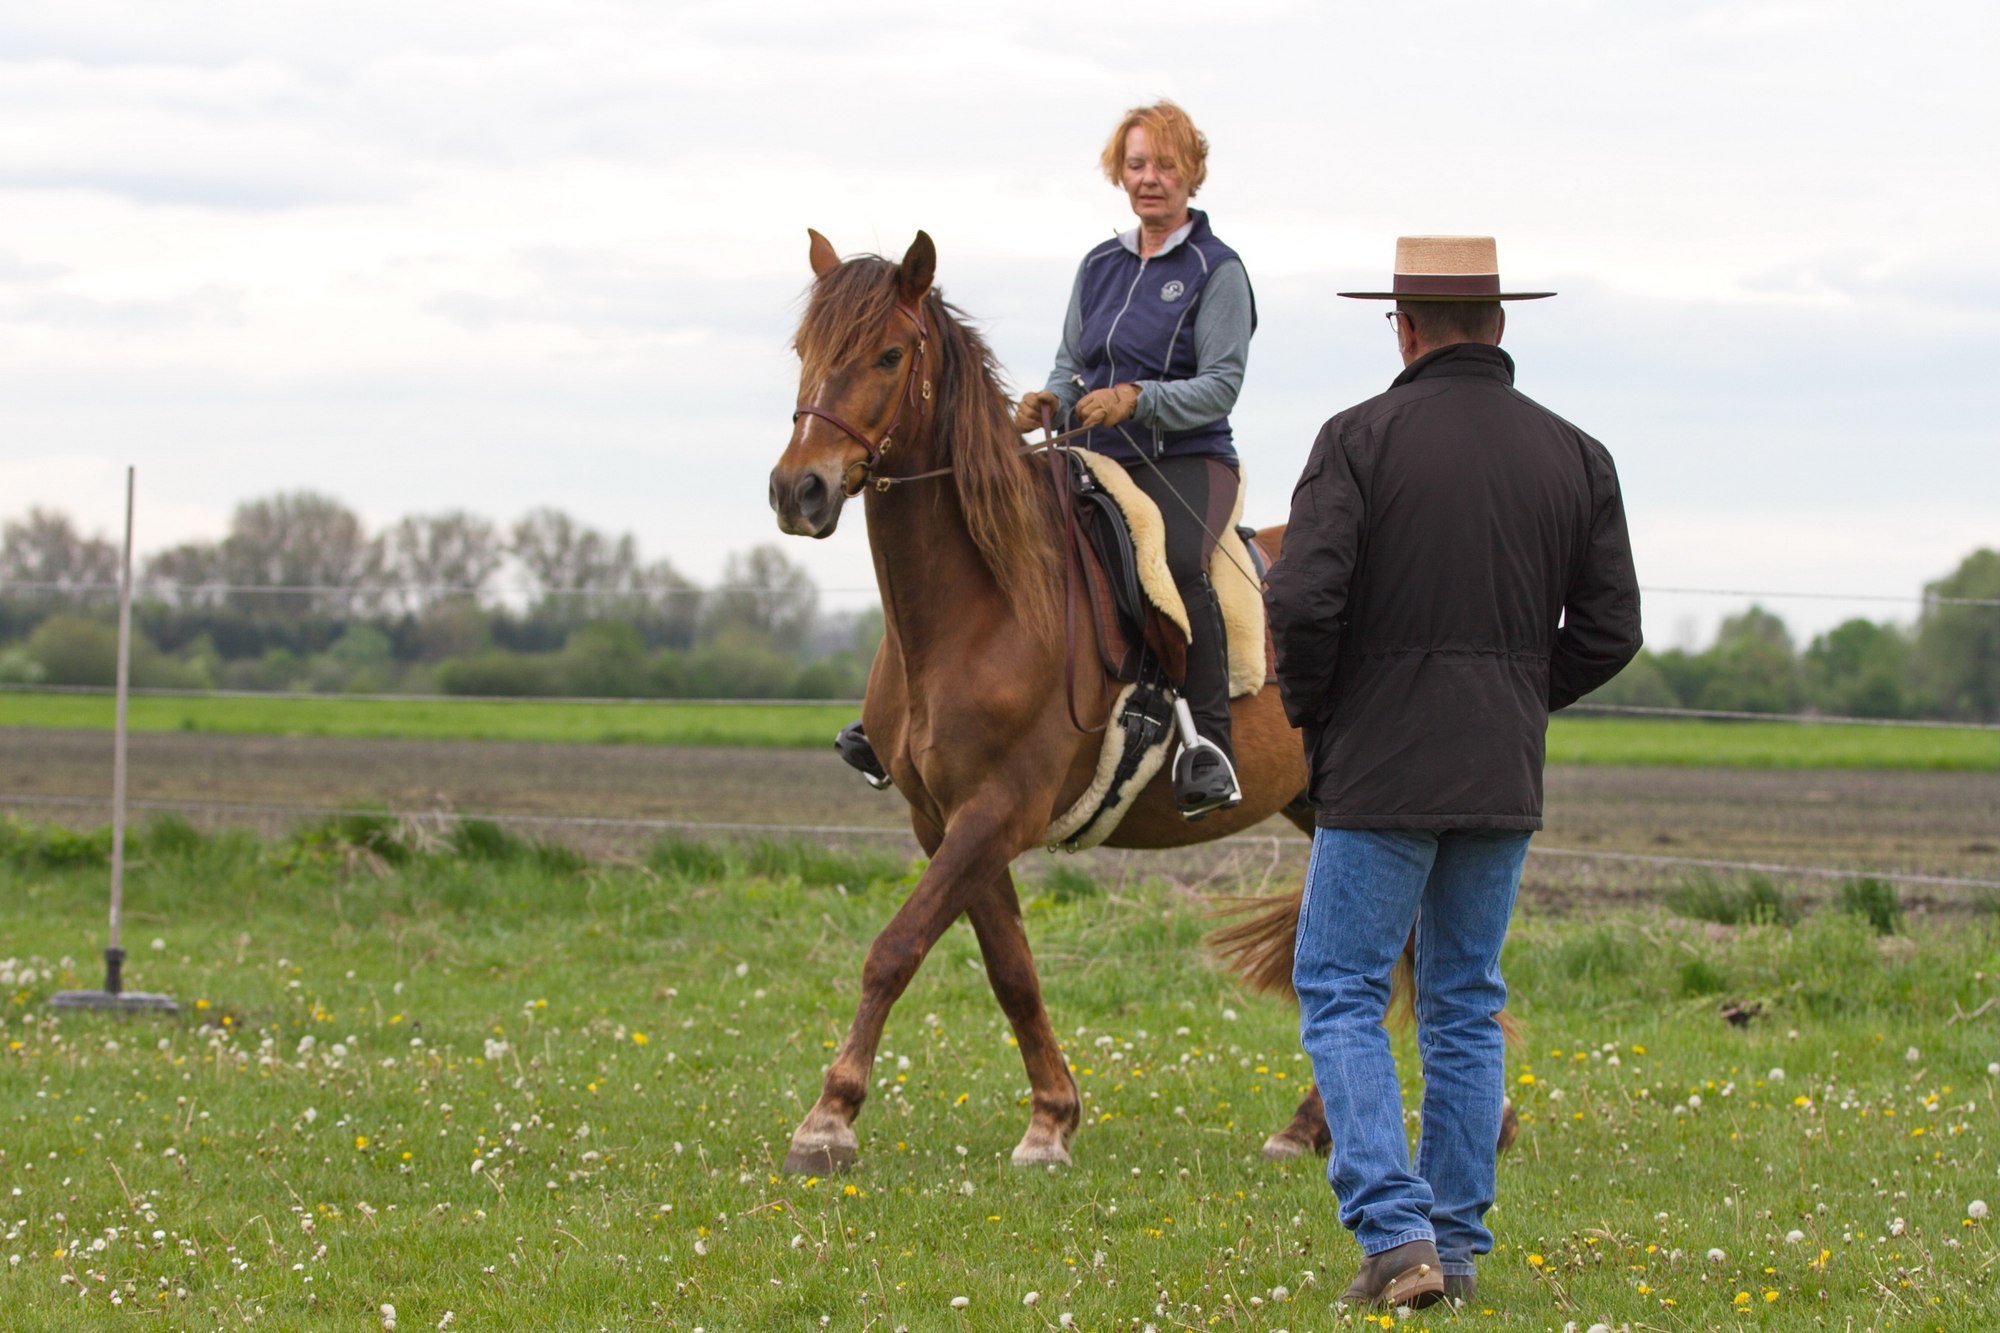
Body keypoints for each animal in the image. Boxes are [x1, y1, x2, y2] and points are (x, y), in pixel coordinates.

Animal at [768, 228, 1373, 1173]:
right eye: (805, 350)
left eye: (889, 354)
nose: (800, 490)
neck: (986, 600)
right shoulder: (948, 820)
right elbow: (1011, 968)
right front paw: (1052, 1117)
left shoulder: (998, 811)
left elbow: (894, 946)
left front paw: (827, 1119)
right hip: (1320, 807)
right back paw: (1320, 1125)